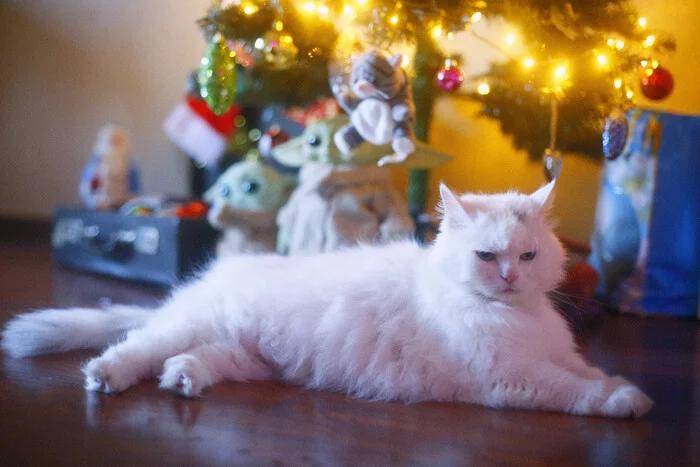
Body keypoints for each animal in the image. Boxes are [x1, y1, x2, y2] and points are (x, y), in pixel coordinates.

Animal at [0, 181, 652, 418]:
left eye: (528, 257)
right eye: (487, 257)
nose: (511, 279)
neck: (515, 316)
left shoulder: (554, 354)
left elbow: (588, 371)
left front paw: (626, 386)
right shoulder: (509, 376)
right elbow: (577, 391)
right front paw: (626, 403)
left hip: (244, 356)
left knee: (185, 360)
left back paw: (183, 381)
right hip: (190, 326)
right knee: (135, 348)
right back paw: (106, 377)